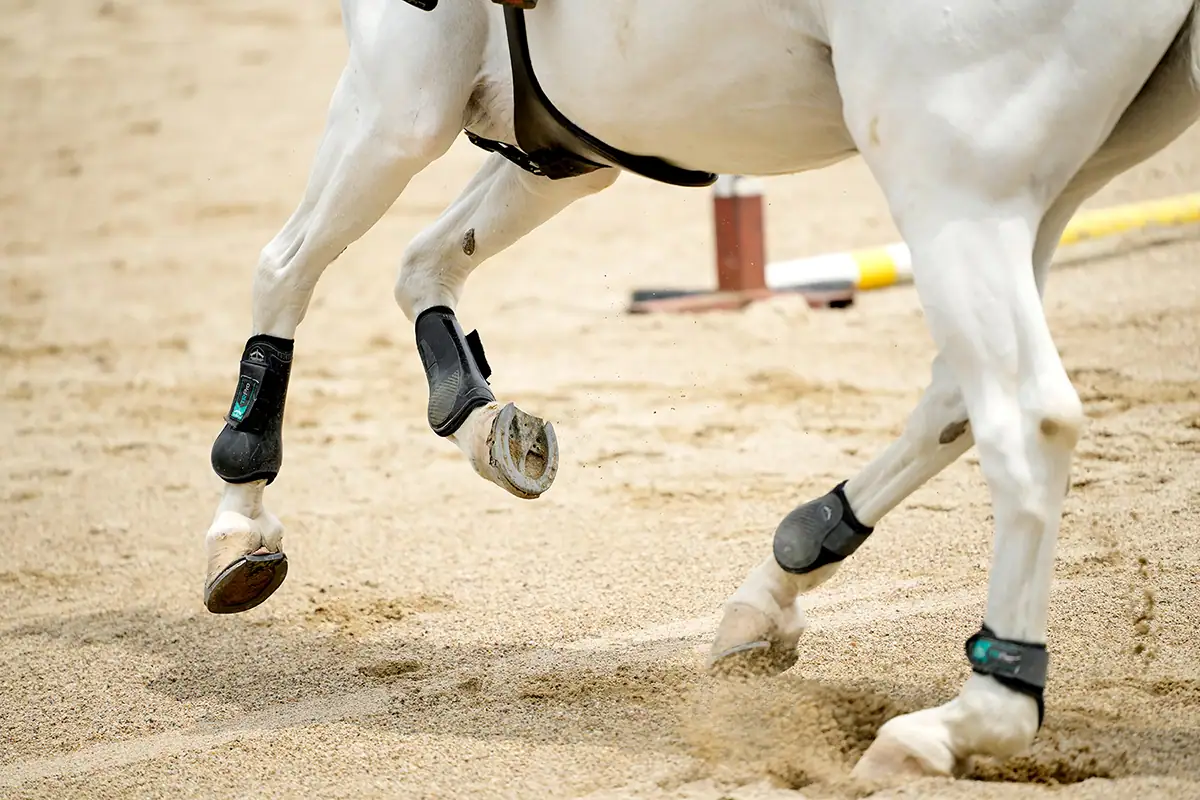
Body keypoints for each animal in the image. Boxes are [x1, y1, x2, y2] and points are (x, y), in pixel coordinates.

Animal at [199, 0, 1200, 782]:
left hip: (956, 182)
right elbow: (424, 264)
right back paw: (782, 579)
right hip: (1054, 184)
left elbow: (283, 268)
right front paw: (485, 423)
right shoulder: (572, 145)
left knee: (1024, 420)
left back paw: (967, 719)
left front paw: (240, 518)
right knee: (956, 400)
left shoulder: (399, 97)